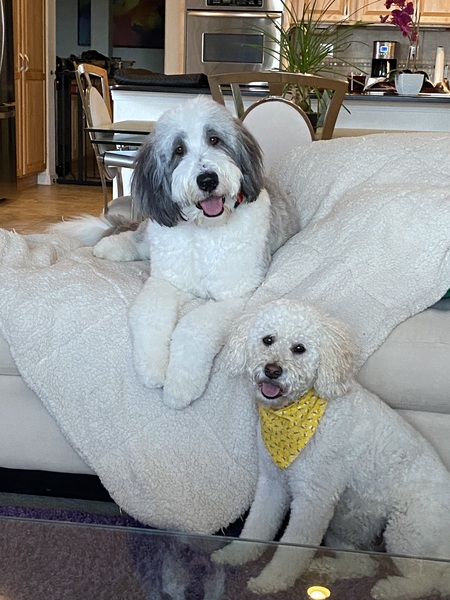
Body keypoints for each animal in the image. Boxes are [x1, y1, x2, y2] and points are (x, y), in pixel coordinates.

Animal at [212, 298, 450, 596]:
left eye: (299, 348)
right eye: (268, 339)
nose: (272, 370)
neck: (293, 415)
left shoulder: (314, 499)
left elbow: (292, 549)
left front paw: (272, 581)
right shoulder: (272, 483)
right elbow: (256, 526)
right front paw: (235, 555)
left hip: (407, 529)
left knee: (429, 580)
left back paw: (390, 588)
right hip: (344, 526)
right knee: (365, 563)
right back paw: (328, 567)